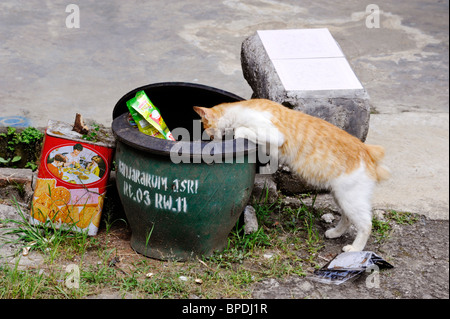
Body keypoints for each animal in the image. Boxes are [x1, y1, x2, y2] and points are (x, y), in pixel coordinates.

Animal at [194, 100, 390, 252]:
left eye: (209, 134)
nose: (211, 143)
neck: (239, 109)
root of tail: (367, 150)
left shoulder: (274, 134)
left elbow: (242, 130)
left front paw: (237, 133)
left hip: (351, 199)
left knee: (366, 224)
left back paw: (355, 248)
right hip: (341, 197)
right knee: (348, 218)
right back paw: (335, 233)